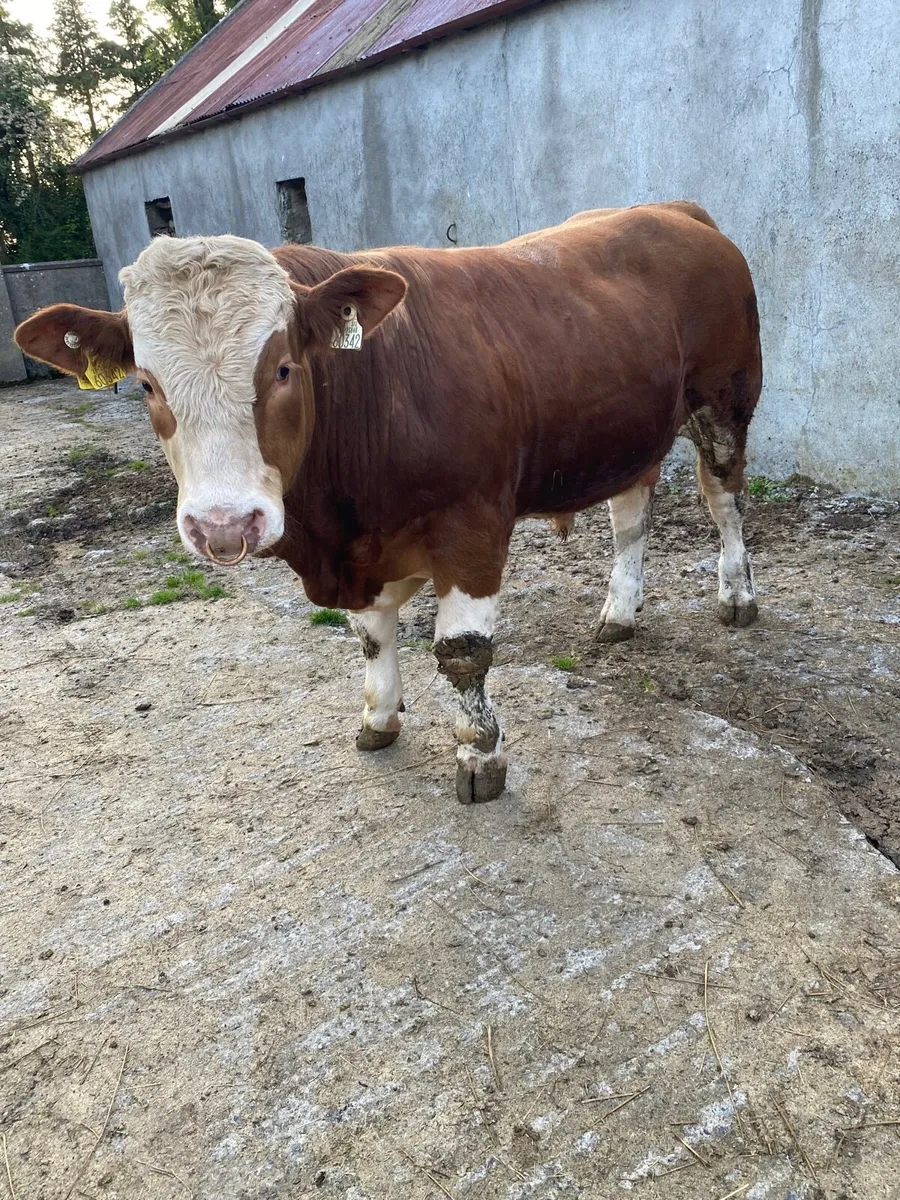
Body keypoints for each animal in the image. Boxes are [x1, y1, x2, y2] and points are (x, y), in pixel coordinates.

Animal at [14, 202, 762, 804]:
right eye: (146, 383)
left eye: (283, 368)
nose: (223, 525)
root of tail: (674, 211)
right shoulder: (359, 551)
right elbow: (372, 637)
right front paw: (378, 718)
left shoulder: (472, 527)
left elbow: (462, 654)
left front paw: (479, 755)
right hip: (627, 429)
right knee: (631, 516)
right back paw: (620, 612)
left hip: (724, 402)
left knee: (723, 499)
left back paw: (737, 595)